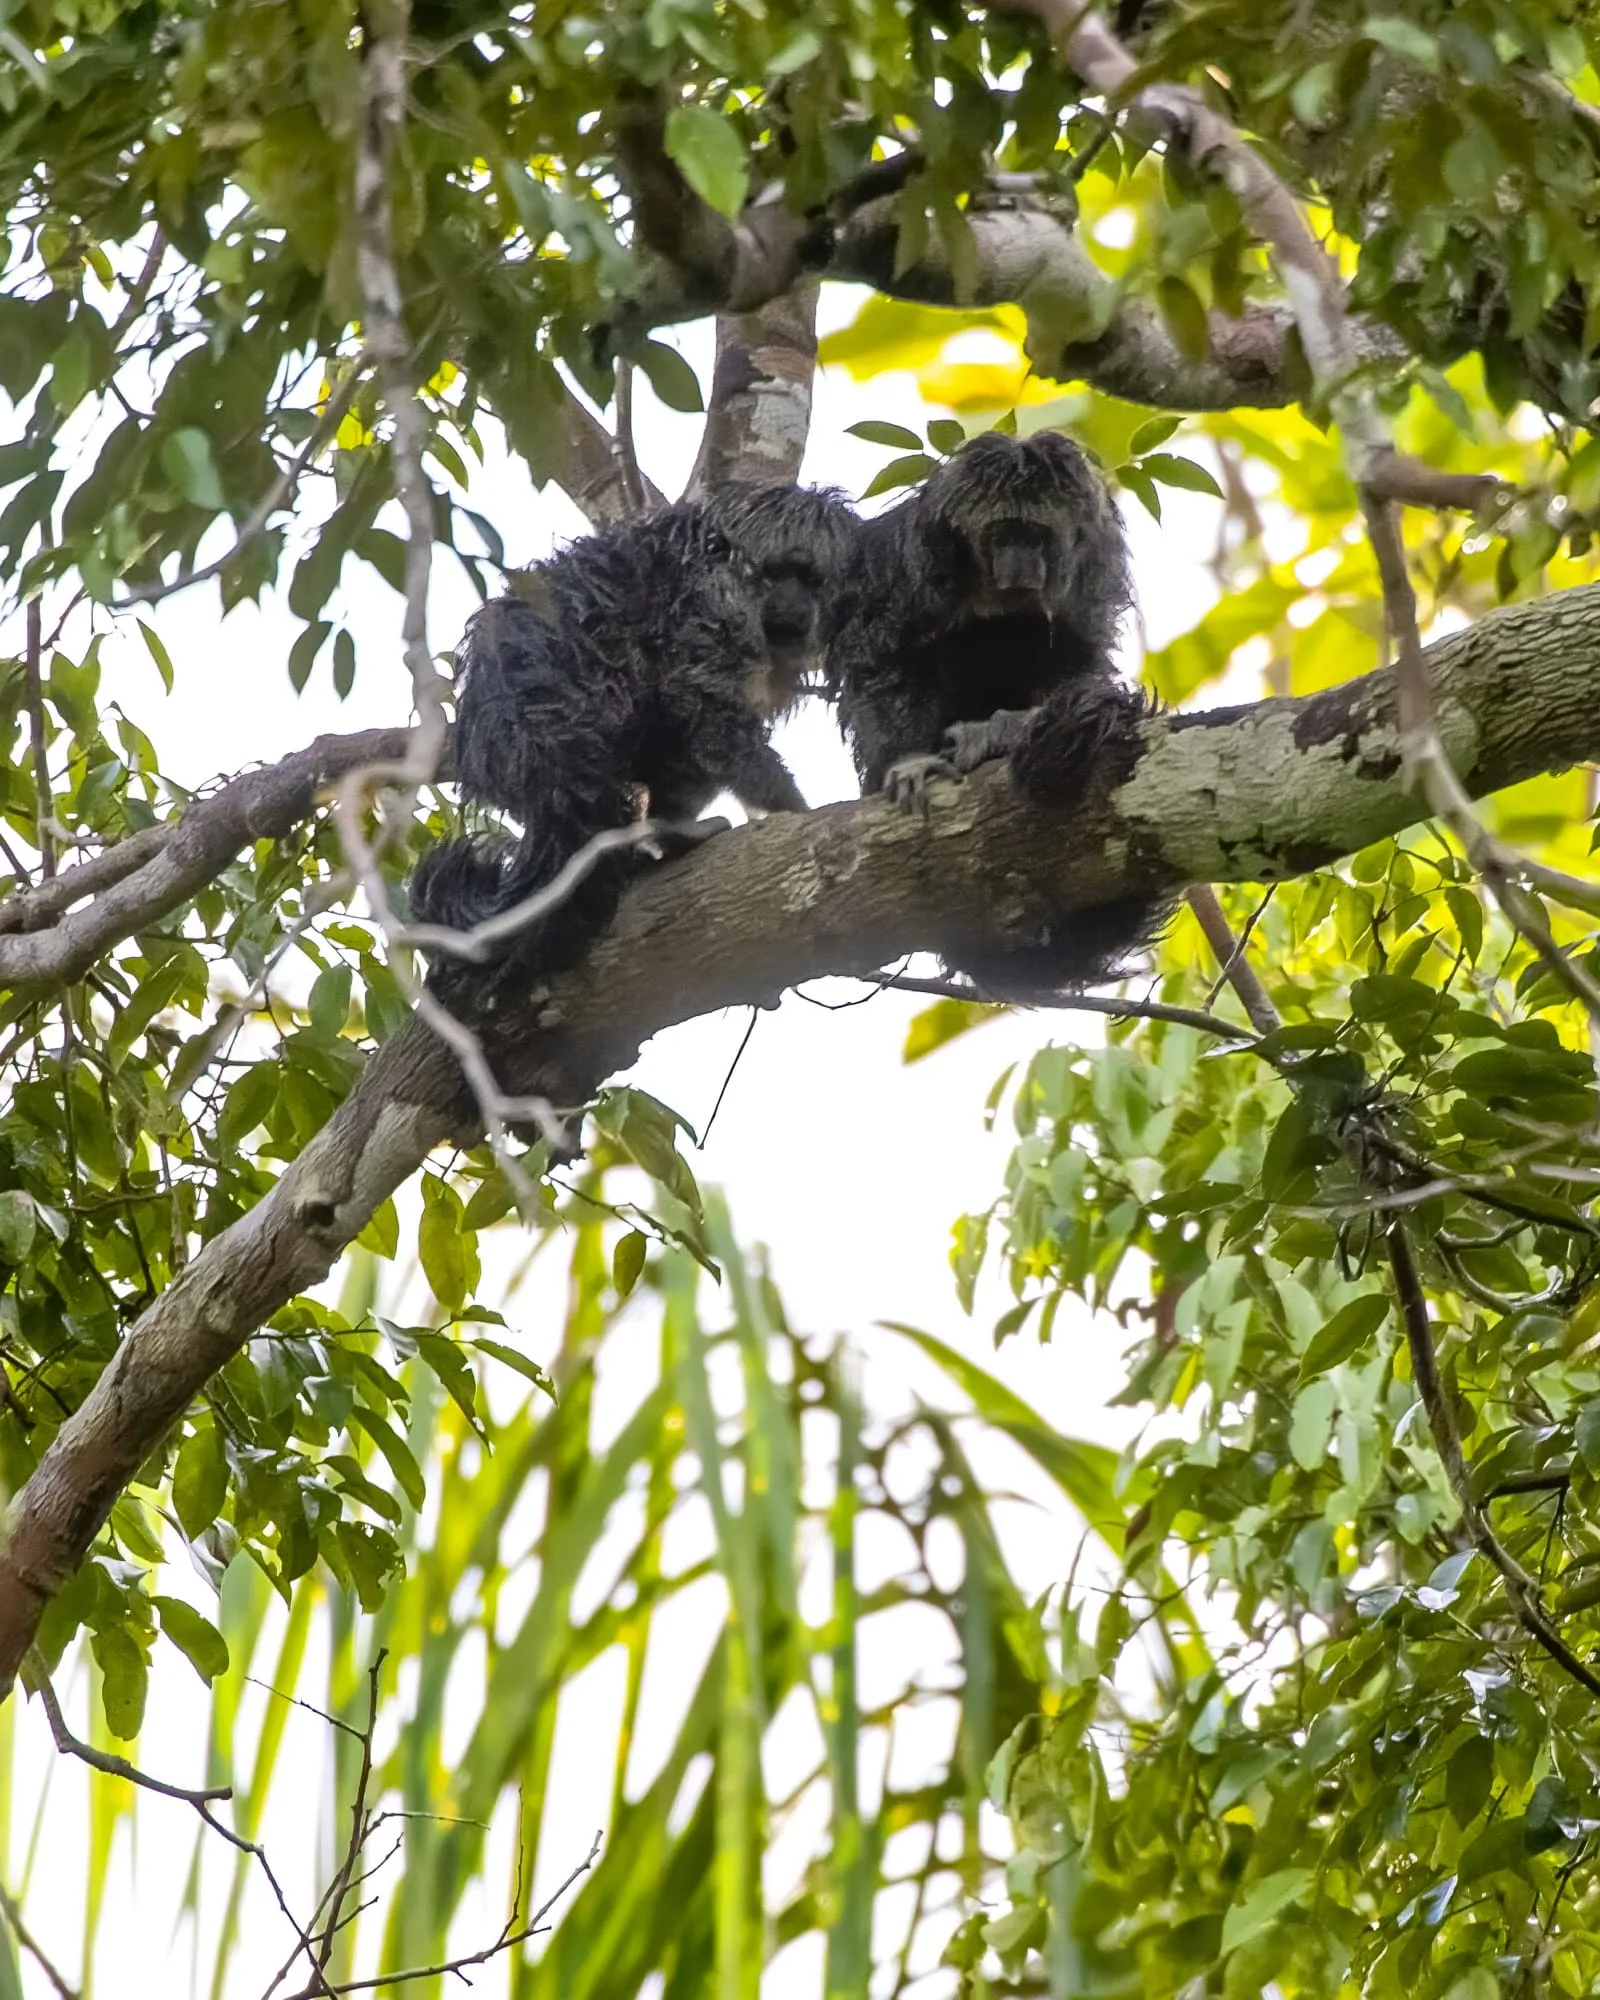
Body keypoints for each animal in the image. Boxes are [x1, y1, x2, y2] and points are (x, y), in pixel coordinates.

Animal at [410, 484, 864, 1000]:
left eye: (810, 579)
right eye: (775, 574)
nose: (794, 606)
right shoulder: (712, 609)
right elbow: (706, 712)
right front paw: (794, 809)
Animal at [824, 430, 1160, 992]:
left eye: (1036, 537)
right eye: (1003, 536)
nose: (1020, 566)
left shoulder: (1094, 559)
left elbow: (1079, 654)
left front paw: (1021, 728)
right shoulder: (919, 555)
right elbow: (883, 654)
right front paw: (910, 762)